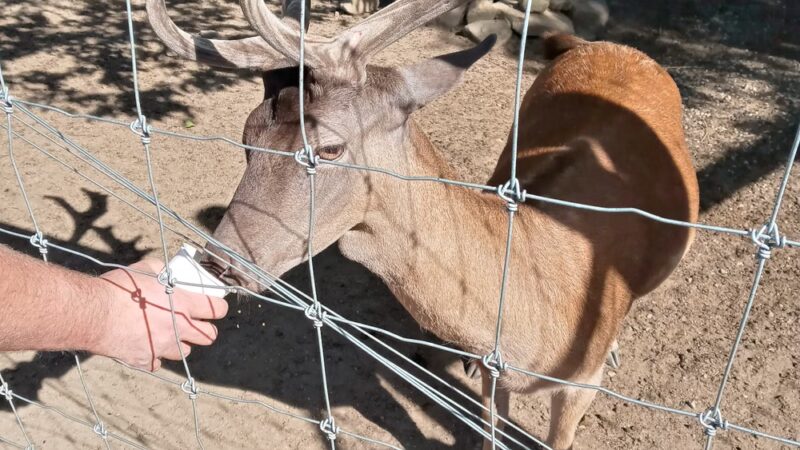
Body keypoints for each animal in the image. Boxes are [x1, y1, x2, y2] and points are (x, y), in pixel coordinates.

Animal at [146, 0, 699, 448]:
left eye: (330, 147)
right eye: (246, 135)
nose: (218, 262)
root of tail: (614, 45)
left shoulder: (580, 385)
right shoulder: (495, 375)